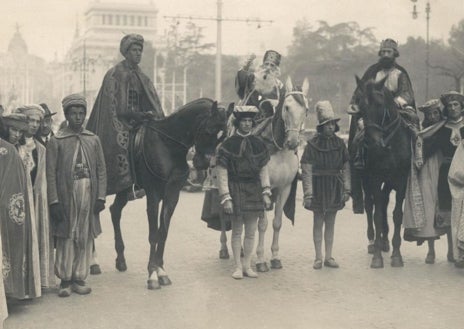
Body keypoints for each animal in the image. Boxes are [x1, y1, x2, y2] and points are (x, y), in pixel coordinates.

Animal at [107, 97, 227, 288]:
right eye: (208, 131)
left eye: (223, 136)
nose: (203, 163)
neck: (168, 145)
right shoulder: (154, 195)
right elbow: (153, 234)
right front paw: (152, 274)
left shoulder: (172, 194)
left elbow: (163, 232)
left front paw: (161, 270)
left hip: (124, 190)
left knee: (115, 211)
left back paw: (121, 259)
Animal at [218, 77, 312, 272]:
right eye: (287, 107)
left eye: (306, 110)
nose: (293, 142)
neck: (278, 149)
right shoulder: (262, 188)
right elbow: (262, 225)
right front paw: (261, 260)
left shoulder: (284, 188)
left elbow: (277, 223)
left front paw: (275, 257)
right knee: (224, 215)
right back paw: (224, 248)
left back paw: (243, 250)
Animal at [356, 75, 414, 268]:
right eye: (361, 106)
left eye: (379, 104)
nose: (369, 141)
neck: (390, 144)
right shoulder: (374, 179)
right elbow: (377, 213)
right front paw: (377, 257)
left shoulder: (401, 181)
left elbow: (396, 215)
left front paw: (396, 255)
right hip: (366, 180)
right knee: (370, 205)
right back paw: (373, 242)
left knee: (383, 201)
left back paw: (385, 241)